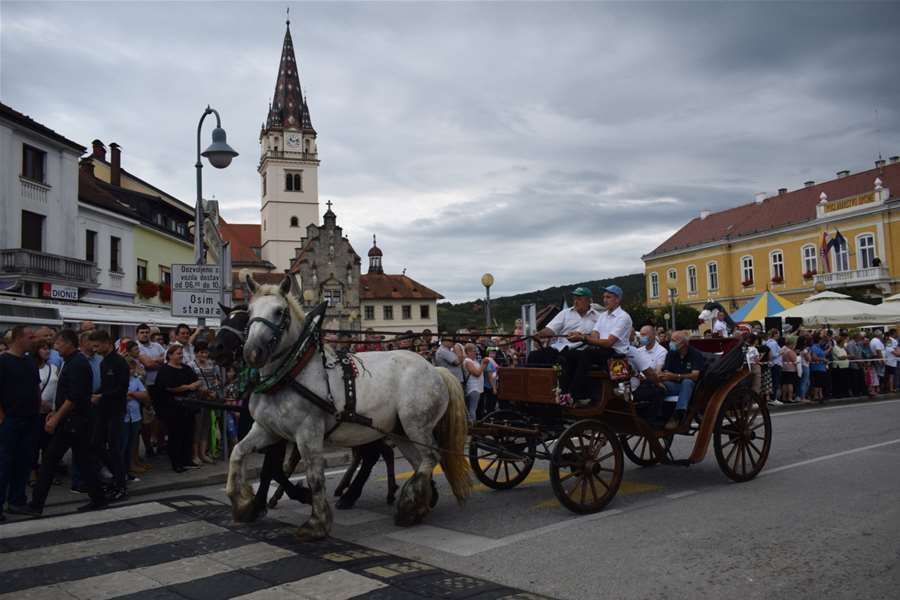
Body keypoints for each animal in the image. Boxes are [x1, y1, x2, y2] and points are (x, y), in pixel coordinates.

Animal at [227, 276, 472, 540]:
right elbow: (238, 453)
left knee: (431, 457)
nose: (253, 353)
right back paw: (419, 503)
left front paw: (316, 523)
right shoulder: (267, 430)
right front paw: (242, 504)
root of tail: (434, 368)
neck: (291, 374)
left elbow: (314, 476)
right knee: (420, 462)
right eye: (250, 311)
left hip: (416, 424)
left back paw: (406, 506)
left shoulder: (308, 432)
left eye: (279, 311)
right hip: (401, 431)